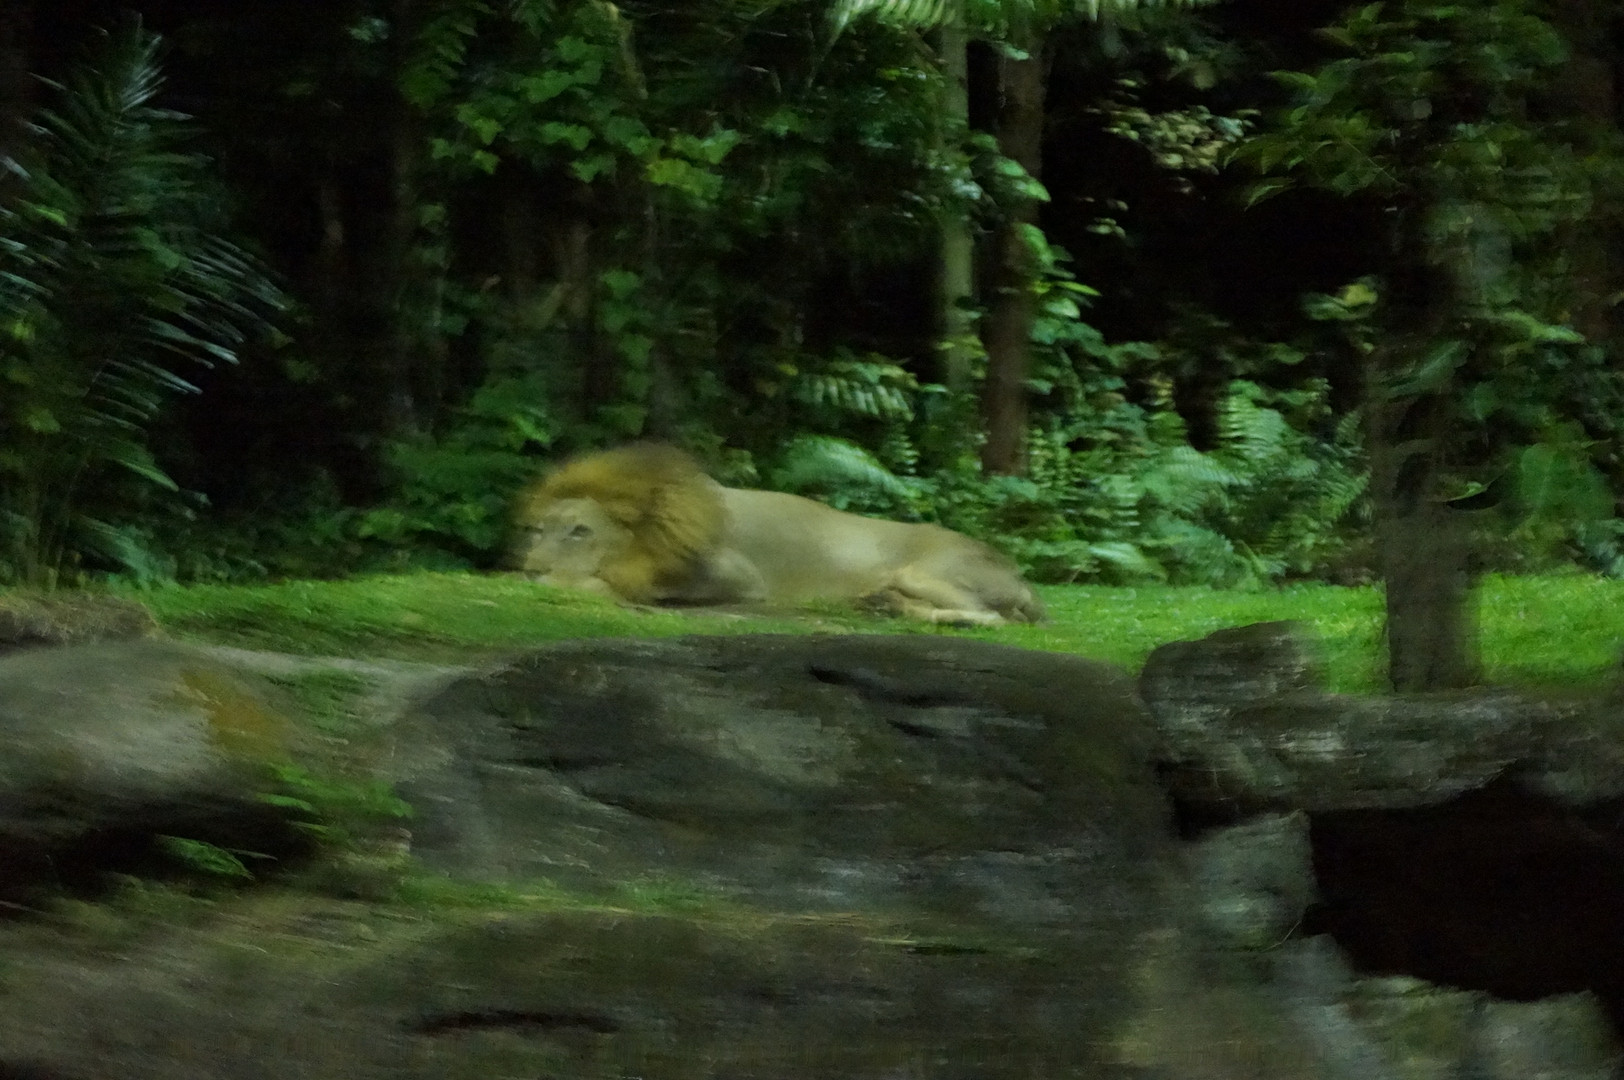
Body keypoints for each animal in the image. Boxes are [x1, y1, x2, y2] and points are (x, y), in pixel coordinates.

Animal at [508, 443, 1045, 626]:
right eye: (537, 531)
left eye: (580, 531)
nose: (529, 568)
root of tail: (1019, 576)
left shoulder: (742, 580)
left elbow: (631, 584)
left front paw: (563, 581)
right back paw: (880, 604)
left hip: (922, 570)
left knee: (993, 618)